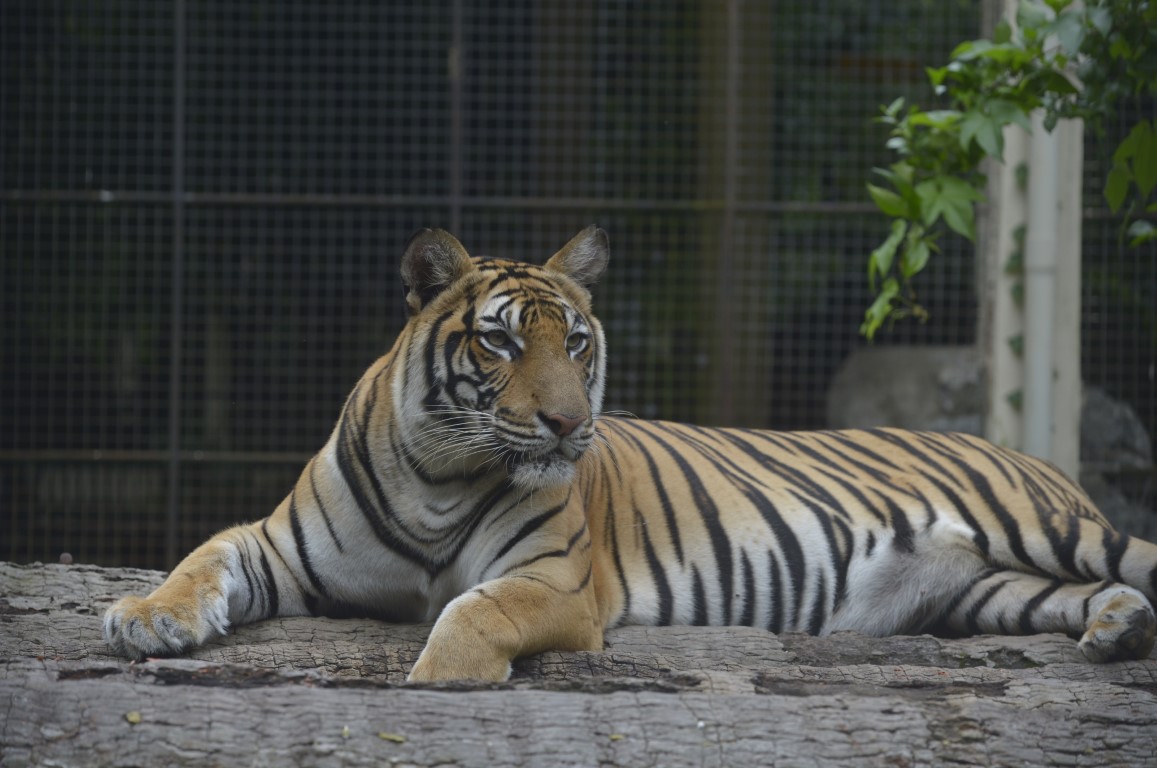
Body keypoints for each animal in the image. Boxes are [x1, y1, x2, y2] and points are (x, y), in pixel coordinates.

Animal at [104, 226, 1157, 681]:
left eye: (575, 342)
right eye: (500, 343)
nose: (570, 426)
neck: (437, 477)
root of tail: (1044, 465)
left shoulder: (557, 585)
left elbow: (471, 614)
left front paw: (440, 679)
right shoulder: (280, 545)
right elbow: (201, 558)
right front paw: (147, 620)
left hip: (1036, 528)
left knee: (1128, 555)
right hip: (986, 591)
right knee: (1071, 597)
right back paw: (1118, 628)